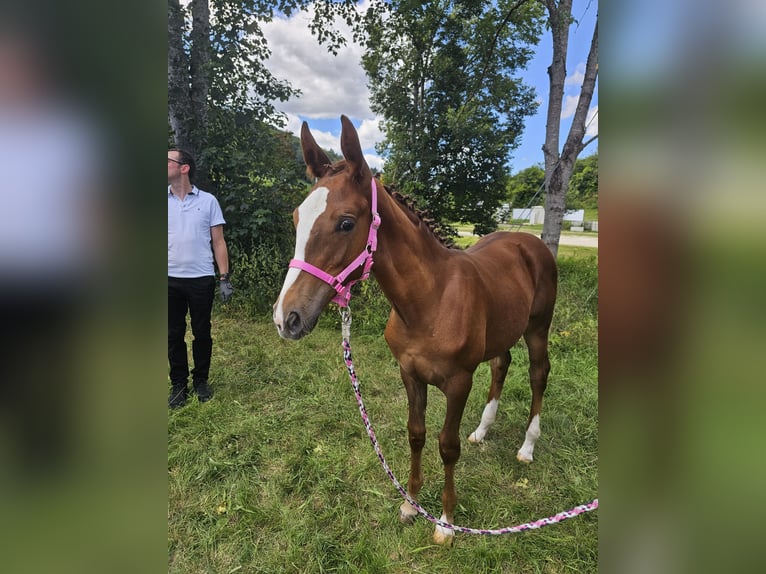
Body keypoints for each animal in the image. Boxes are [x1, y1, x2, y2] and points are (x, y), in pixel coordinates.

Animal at [274, 115, 560, 548]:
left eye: (346, 223)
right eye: (295, 218)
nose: (286, 318)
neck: (430, 300)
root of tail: (530, 242)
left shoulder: (459, 382)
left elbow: (447, 446)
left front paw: (445, 521)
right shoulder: (409, 373)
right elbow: (416, 434)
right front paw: (410, 504)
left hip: (538, 328)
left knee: (538, 374)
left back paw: (527, 446)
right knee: (501, 364)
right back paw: (482, 430)